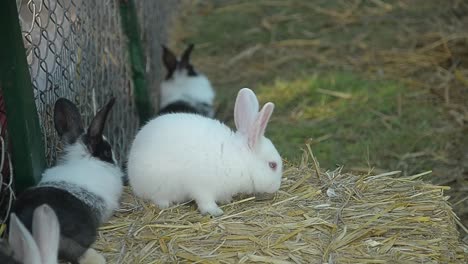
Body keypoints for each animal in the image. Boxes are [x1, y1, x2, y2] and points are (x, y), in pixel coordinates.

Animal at [128, 87, 282, 216]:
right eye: (272, 165)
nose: (276, 187)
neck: (240, 159)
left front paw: (226, 200)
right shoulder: (202, 187)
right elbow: (205, 201)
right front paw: (215, 212)